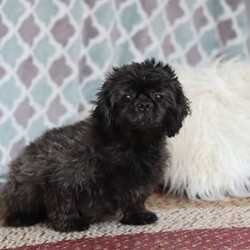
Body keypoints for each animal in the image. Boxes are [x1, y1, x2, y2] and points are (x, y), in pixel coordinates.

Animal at [0, 59, 189, 232]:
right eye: (126, 97)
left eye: (159, 96)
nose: (143, 104)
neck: (132, 145)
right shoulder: (64, 175)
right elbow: (64, 201)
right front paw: (70, 222)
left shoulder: (143, 179)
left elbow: (136, 198)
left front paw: (137, 215)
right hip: (25, 184)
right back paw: (21, 217)